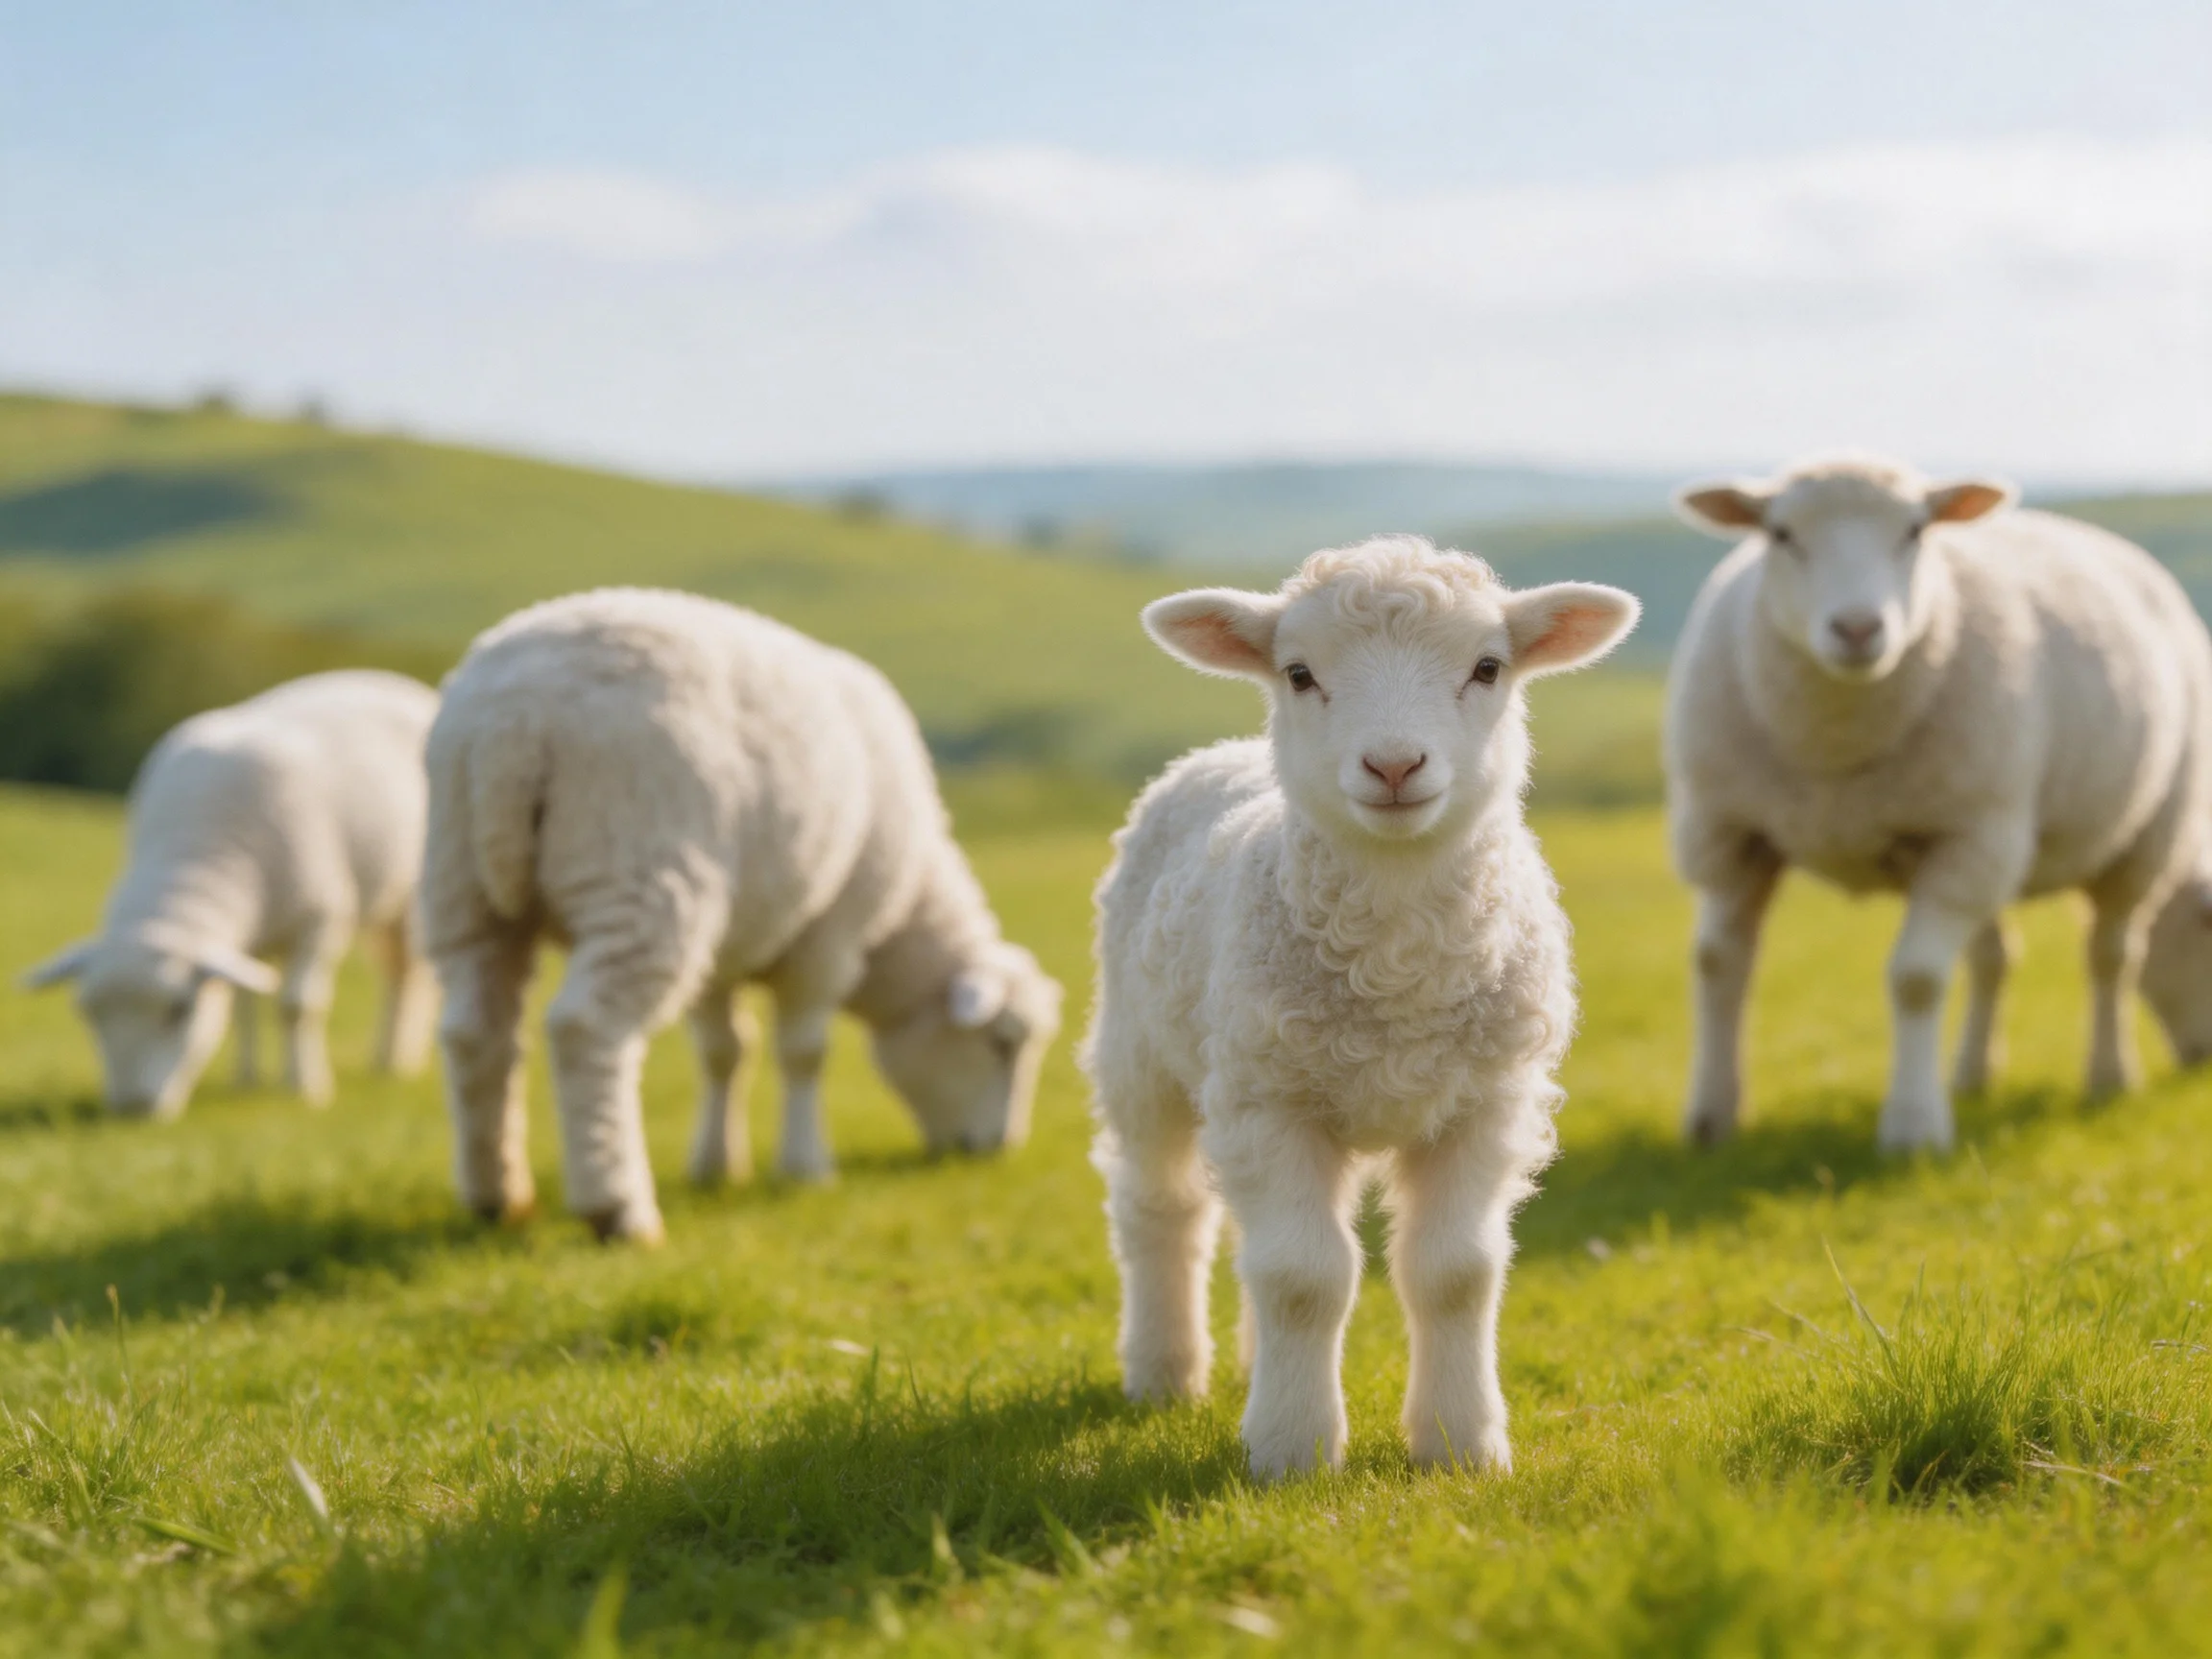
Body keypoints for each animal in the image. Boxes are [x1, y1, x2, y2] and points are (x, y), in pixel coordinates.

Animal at [23, 669, 441, 1117]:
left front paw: (304, 1088)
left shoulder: (320, 920)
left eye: (179, 1010)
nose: (132, 1109)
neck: (198, 853)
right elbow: (243, 1008)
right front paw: (247, 1081)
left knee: (405, 975)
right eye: (88, 1014)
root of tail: (389, 679)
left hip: (411, 897)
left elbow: (297, 1007)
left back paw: (392, 1061)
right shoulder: (242, 944)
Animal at [421, 587, 1064, 1244]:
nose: (995, 1150)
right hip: (640, 873)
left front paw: (716, 1166)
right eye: (1002, 1044)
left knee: (474, 1032)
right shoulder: (828, 937)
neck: (901, 925)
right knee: (586, 1029)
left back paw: (497, 1196)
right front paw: (806, 1167)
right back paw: (618, 1209)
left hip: (461, 883)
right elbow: (803, 1052)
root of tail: (510, 721)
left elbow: (725, 1052)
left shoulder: (720, 948)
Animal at [1085, 536, 1638, 1479]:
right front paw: (1292, 1451)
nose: (1393, 766)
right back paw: (1165, 1371)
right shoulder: (1269, 1100)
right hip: (1142, 1055)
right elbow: (1305, 1280)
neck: (1397, 973)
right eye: (1299, 673)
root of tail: (1224, 751)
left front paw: (1461, 1443)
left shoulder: (1488, 1103)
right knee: (1162, 1209)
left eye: (1488, 667)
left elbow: (1454, 1272)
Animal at [1667, 453, 2212, 1153]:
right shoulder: (1728, 833)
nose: (1857, 628)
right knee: (1997, 959)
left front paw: (1913, 1128)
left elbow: (1918, 979)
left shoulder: (1966, 836)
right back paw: (1975, 1075)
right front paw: (1712, 1118)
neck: (1834, 750)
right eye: (1780, 534)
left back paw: (2109, 1075)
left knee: (2110, 958)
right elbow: (1717, 963)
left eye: (1916, 531)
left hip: (2134, 836)